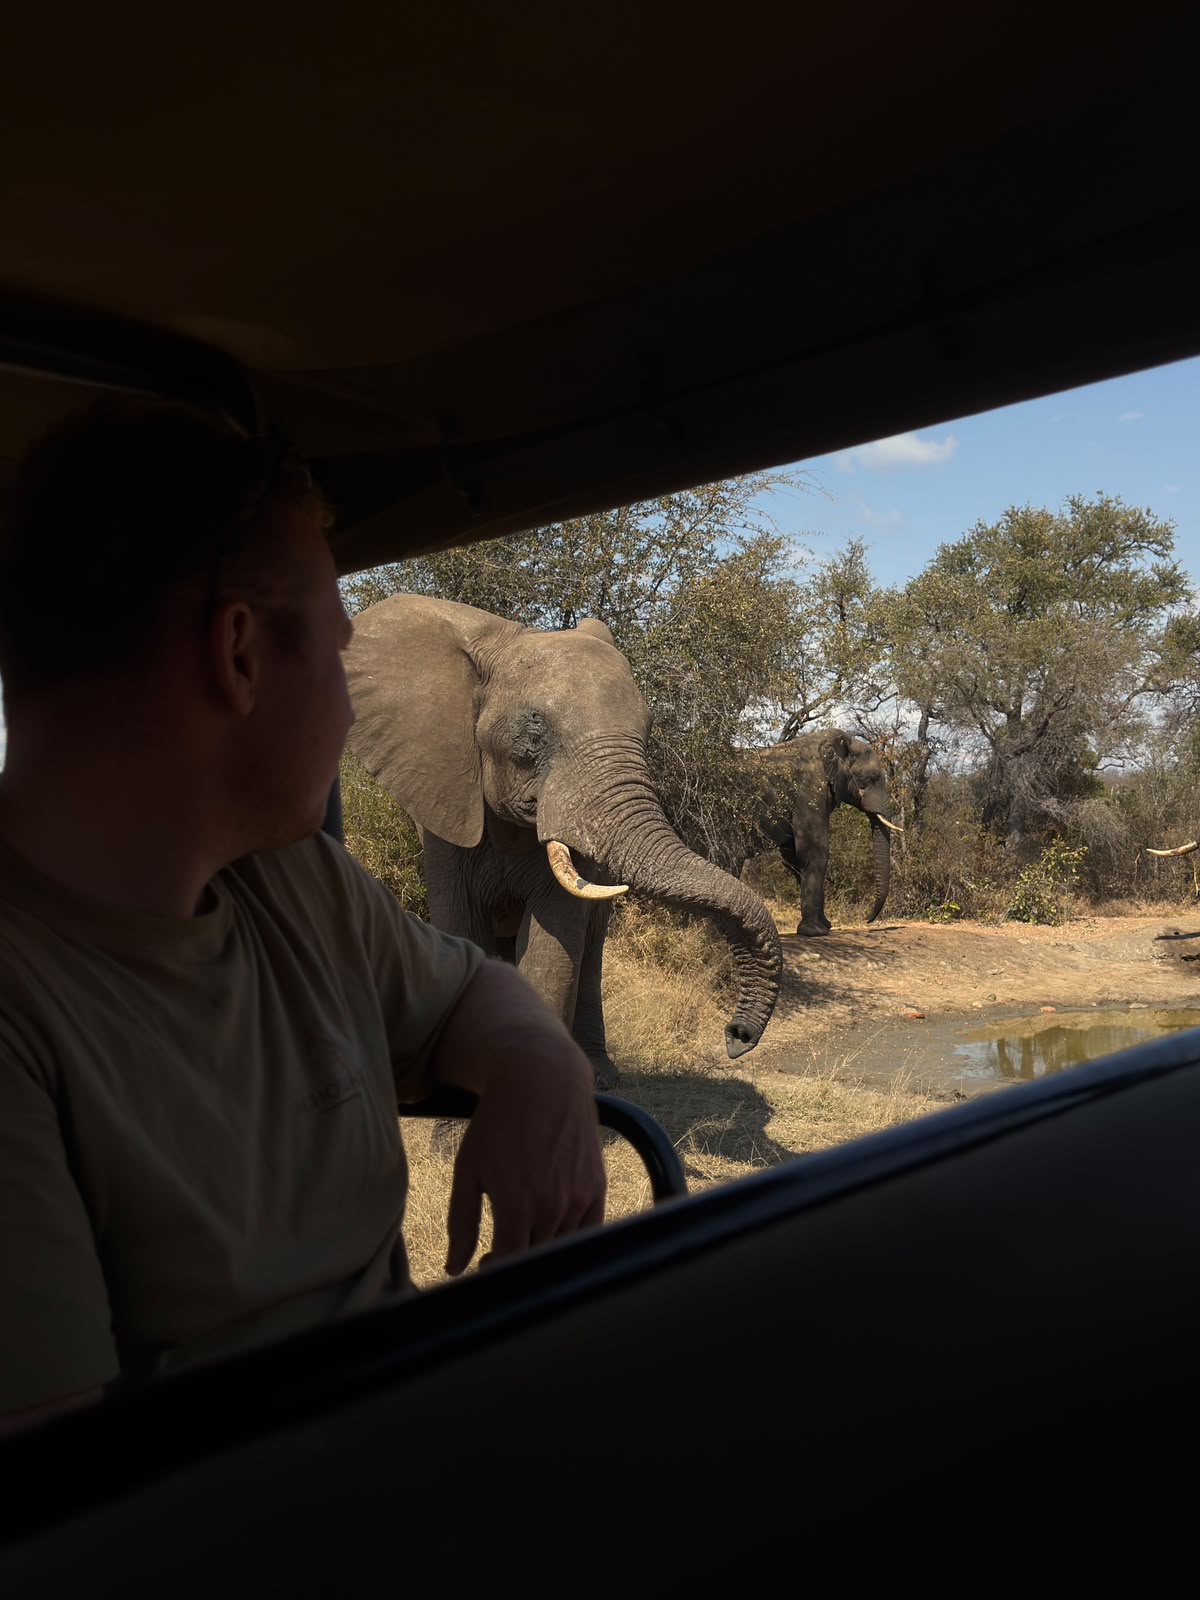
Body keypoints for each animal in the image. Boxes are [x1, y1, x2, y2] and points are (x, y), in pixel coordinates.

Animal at [343, 595, 783, 1086]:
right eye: (532, 739)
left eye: (647, 734)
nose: (736, 1036)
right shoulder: (446, 814)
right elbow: (464, 931)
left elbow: (551, 956)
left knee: (588, 956)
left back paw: (601, 1075)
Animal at [739, 729, 902, 937]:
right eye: (870, 779)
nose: (867, 919)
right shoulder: (811, 789)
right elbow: (815, 851)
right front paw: (815, 931)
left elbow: (793, 857)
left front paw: (826, 925)